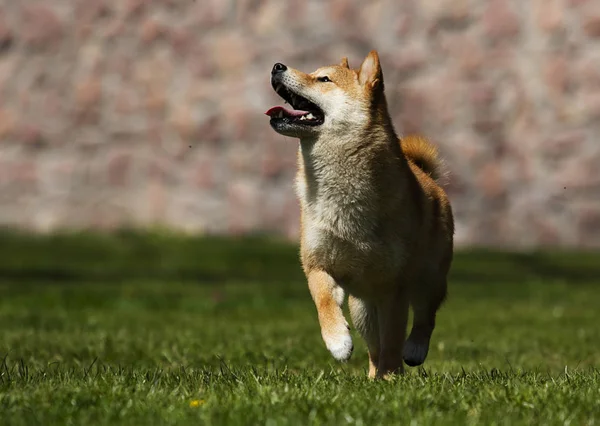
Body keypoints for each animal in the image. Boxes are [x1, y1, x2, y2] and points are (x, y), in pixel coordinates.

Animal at [264, 50, 452, 380]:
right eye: (315, 73)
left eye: (323, 79)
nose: (276, 66)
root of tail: (428, 177)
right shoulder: (318, 265)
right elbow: (324, 302)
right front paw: (338, 340)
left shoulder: (394, 286)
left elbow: (394, 338)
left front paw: (393, 376)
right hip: (363, 308)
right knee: (374, 348)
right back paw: (373, 377)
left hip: (428, 279)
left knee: (424, 318)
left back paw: (411, 353)